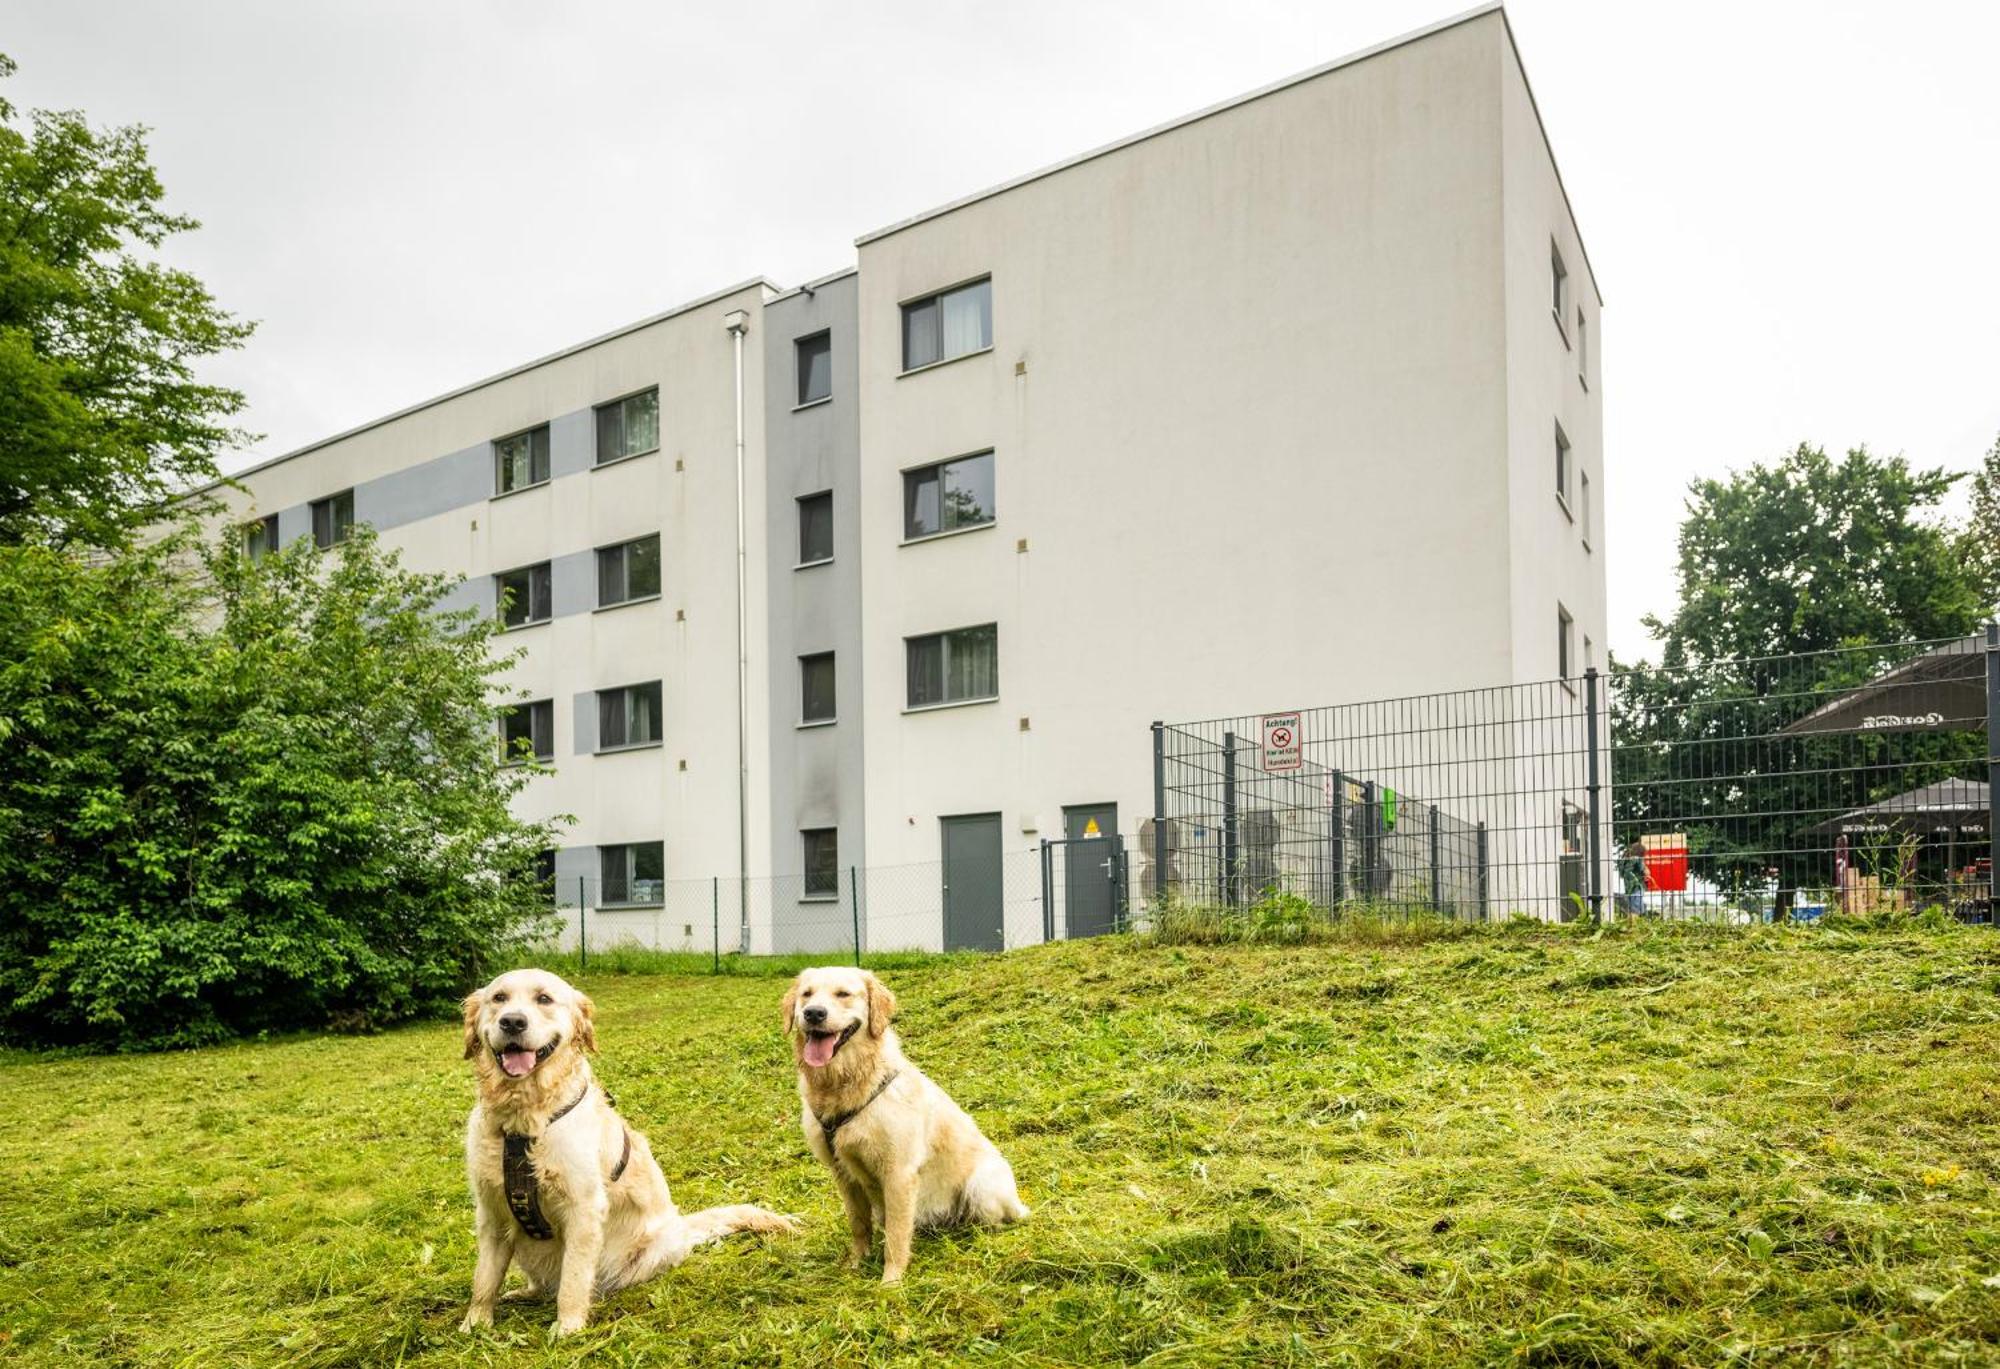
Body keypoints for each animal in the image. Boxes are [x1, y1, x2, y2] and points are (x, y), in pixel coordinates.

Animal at [460, 960, 796, 1336]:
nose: (513, 1021)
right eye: (499, 998)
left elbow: (573, 1279)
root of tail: (681, 1226)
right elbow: (484, 1279)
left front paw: (568, 1326)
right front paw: (475, 1324)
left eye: (544, 999)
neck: (522, 1121)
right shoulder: (491, 1212)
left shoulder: (583, 1209)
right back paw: (524, 1292)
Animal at [780, 960, 1032, 1280]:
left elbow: (897, 1236)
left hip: (982, 1185)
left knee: (990, 1221)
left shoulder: (898, 1173)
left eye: (843, 994)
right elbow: (858, 1224)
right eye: (807, 994)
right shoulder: (843, 1173)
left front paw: (891, 1280)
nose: (813, 1013)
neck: (848, 1083)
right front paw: (855, 1263)